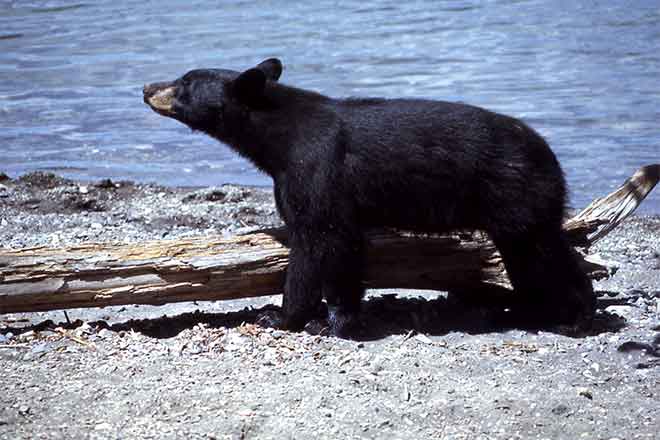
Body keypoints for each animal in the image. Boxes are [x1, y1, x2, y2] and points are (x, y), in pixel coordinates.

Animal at [142, 57, 596, 334]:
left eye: (184, 83)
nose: (146, 86)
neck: (277, 140)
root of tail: (551, 156)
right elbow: (343, 249)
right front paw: (335, 316)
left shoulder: (317, 168)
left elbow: (319, 240)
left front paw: (286, 316)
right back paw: (524, 309)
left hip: (517, 194)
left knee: (543, 253)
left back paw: (574, 315)